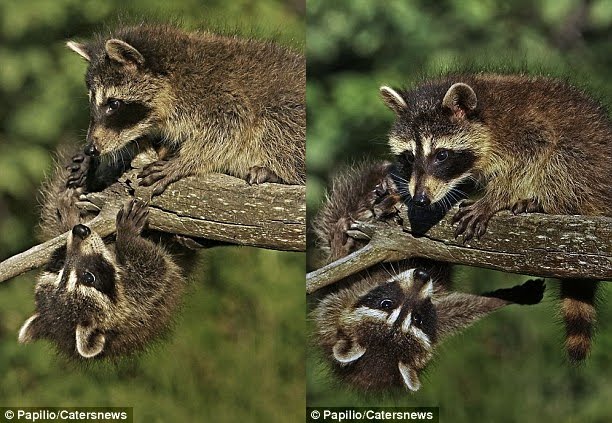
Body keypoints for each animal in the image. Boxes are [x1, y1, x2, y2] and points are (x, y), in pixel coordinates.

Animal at [19, 151, 186, 360]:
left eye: (59, 265)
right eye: (89, 278)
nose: (80, 231)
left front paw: (69, 214)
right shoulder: (138, 299)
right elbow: (155, 266)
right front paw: (127, 234)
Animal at [380, 74, 608, 362]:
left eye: (441, 155)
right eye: (409, 157)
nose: (421, 199)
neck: (485, 116)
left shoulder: (526, 127)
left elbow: (533, 155)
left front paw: (494, 199)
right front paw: (401, 192)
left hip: (590, 167)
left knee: (564, 158)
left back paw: (546, 202)